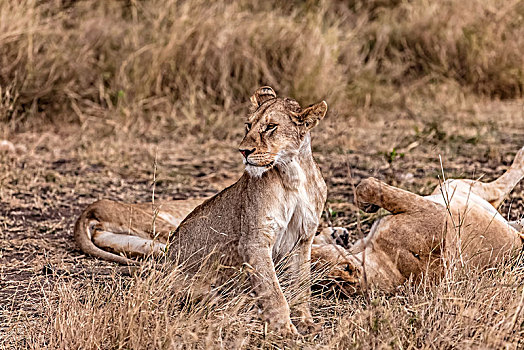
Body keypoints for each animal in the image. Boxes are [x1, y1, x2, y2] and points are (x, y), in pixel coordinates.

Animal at [73, 86, 328, 334]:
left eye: (271, 127)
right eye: (248, 125)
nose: (243, 151)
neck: (293, 175)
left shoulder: (303, 239)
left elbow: (302, 283)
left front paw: (305, 322)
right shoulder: (255, 240)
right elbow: (272, 290)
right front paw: (285, 329)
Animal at [314, 148, 520, 296]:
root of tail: (519, 239)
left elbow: (367, 186)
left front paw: (336, 233)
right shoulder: (438, 211)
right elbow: (368, 186)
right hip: (452, 187)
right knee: (499, 190)